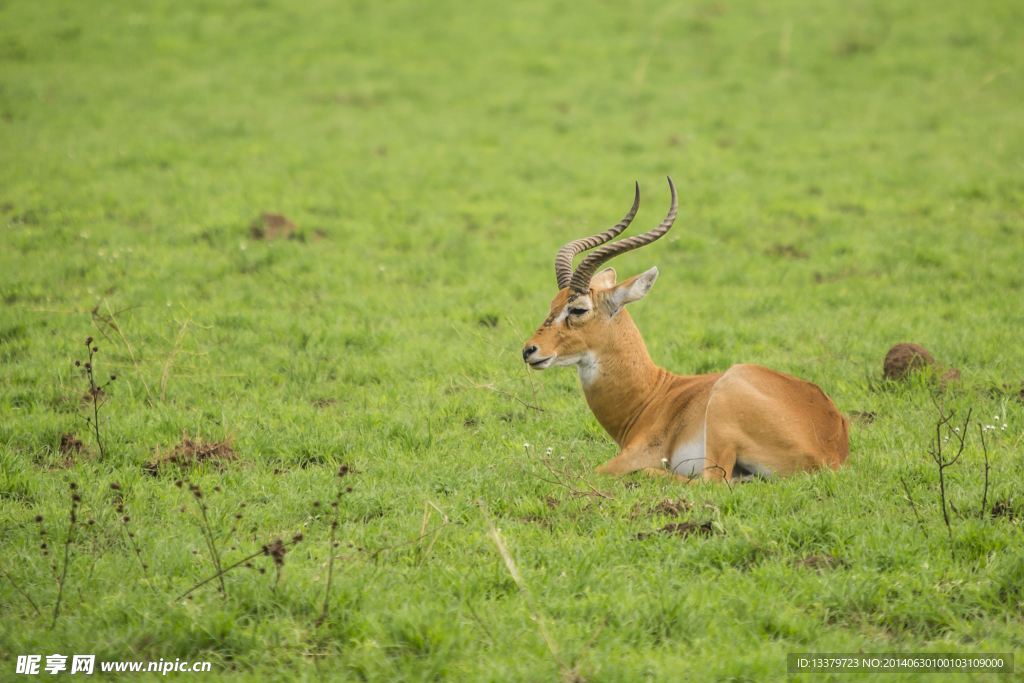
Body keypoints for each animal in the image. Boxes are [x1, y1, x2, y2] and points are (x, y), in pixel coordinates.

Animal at [520, 179, 847, 483]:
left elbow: (594, 471)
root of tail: (831, 447)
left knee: (710, 482)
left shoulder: (630, 456)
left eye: (578, 309)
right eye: (553, 304)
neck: (652, 396)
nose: (529, 350)